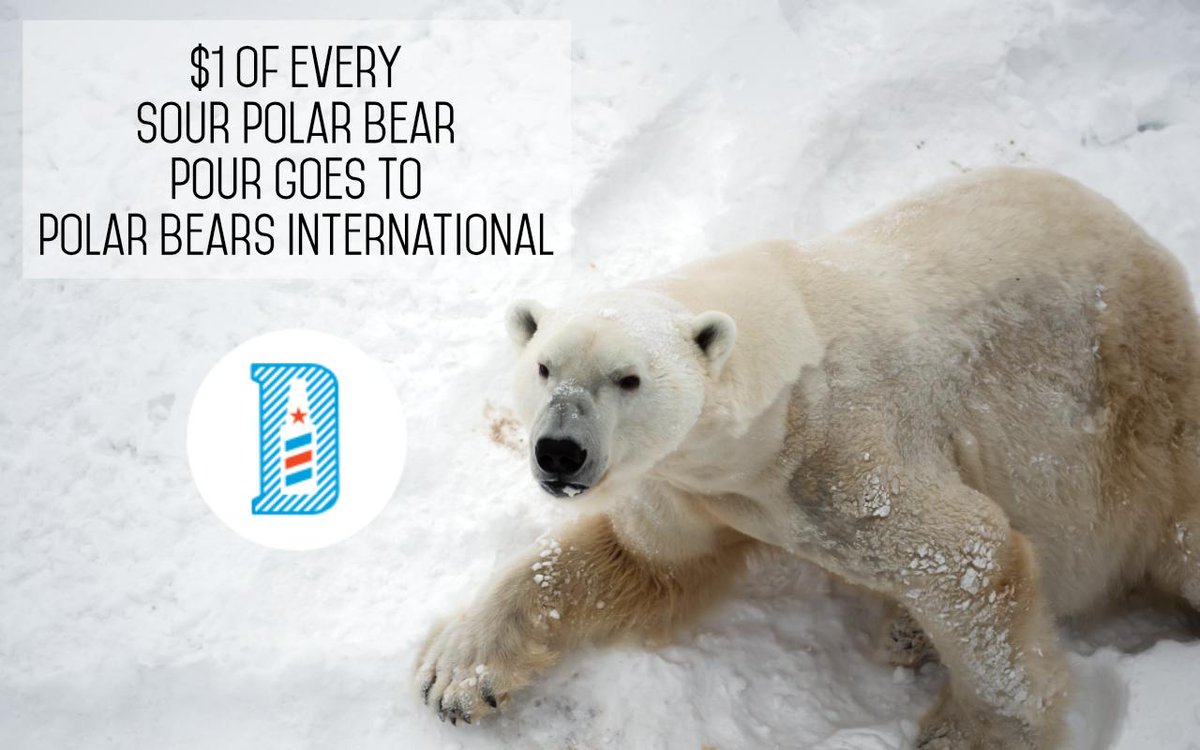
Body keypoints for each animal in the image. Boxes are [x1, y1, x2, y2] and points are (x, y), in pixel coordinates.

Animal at [414, 167, 1200, 749]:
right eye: (545, 367)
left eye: (627, 379)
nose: (559, 451)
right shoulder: (689, 488)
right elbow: (639, 561)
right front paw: (457, 673)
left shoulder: (848, 459)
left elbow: (970, 557)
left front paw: (965, 732)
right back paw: (908, 631)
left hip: (1150, 425)